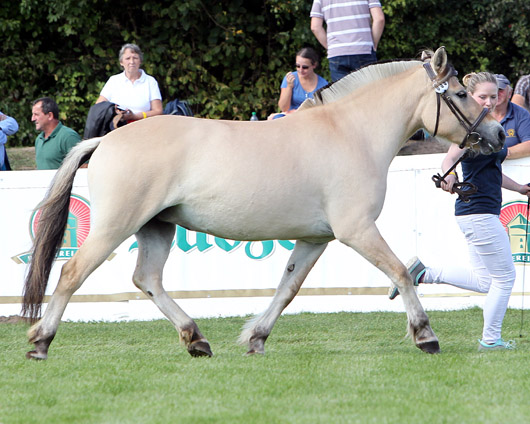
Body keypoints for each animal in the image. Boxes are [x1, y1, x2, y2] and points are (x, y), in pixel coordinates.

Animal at [23, 47, 504, 358]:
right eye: (461, 94)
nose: (498, 134)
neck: (351, 133)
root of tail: (106, 140)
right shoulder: (357, 231)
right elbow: (402, 272)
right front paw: (425, 336)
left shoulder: (315, 239)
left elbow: (287, 289)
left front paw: (256, 337)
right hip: (115, 226)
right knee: (71, 272)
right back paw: (41, 341)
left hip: (157, 226)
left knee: (148, 280)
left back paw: (196, 339)